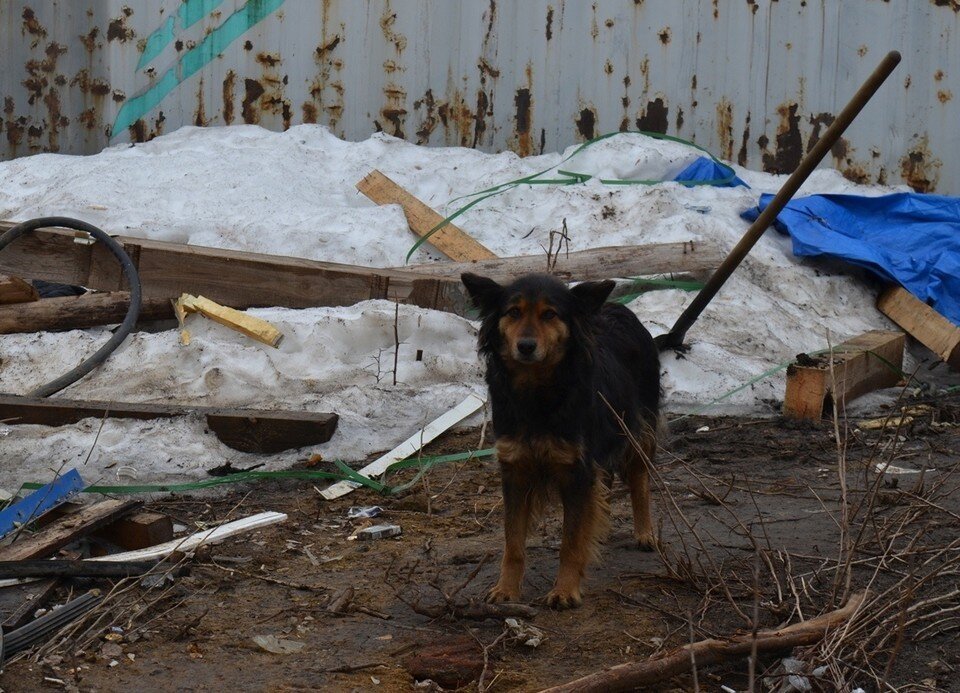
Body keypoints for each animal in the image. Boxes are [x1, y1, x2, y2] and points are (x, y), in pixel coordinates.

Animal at [464, 274, 660, 608]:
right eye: (513, 312)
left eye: (549, 314)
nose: (525, 346)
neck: (536, 393)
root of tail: (619, 308)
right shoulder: (514, 471)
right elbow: (513, 543)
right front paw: (506, 589)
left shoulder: (577, 471)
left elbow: (571, 541)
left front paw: (565, 590)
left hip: (636, 429)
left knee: (639, 479)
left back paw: (645, 532)